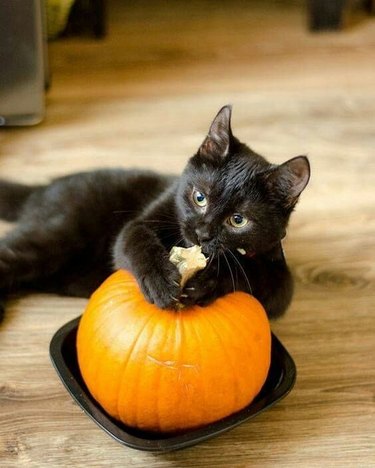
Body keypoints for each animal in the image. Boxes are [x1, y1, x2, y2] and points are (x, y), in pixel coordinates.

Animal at [0, 107, 312, 322]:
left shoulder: (281, 282)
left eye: (238, 220)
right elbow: (136, 239)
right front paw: (160, 280)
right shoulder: (142, 221)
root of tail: (44, 187)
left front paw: (206, 282)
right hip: (61, 232)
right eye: (200, 197)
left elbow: (248, 271)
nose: (201, 233)